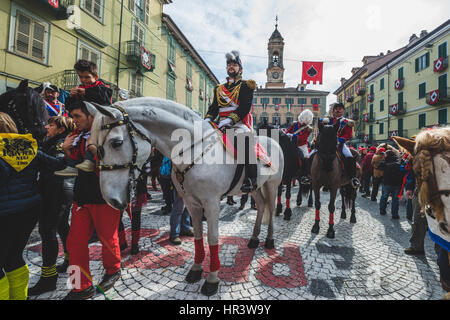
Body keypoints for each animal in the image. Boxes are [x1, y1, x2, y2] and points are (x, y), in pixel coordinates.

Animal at [85, 98, 284, 298]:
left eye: (116, 143)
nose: (111, 199)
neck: (193, 149)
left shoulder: (211, 203)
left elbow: (213, 238)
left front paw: (212, 279)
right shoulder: (191, 202)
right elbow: (197, 236)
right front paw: (196, 269)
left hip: (272, 185)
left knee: (271, 208)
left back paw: (269, 240)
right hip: (255, 188)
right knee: (261, 205)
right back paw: (254, 239)